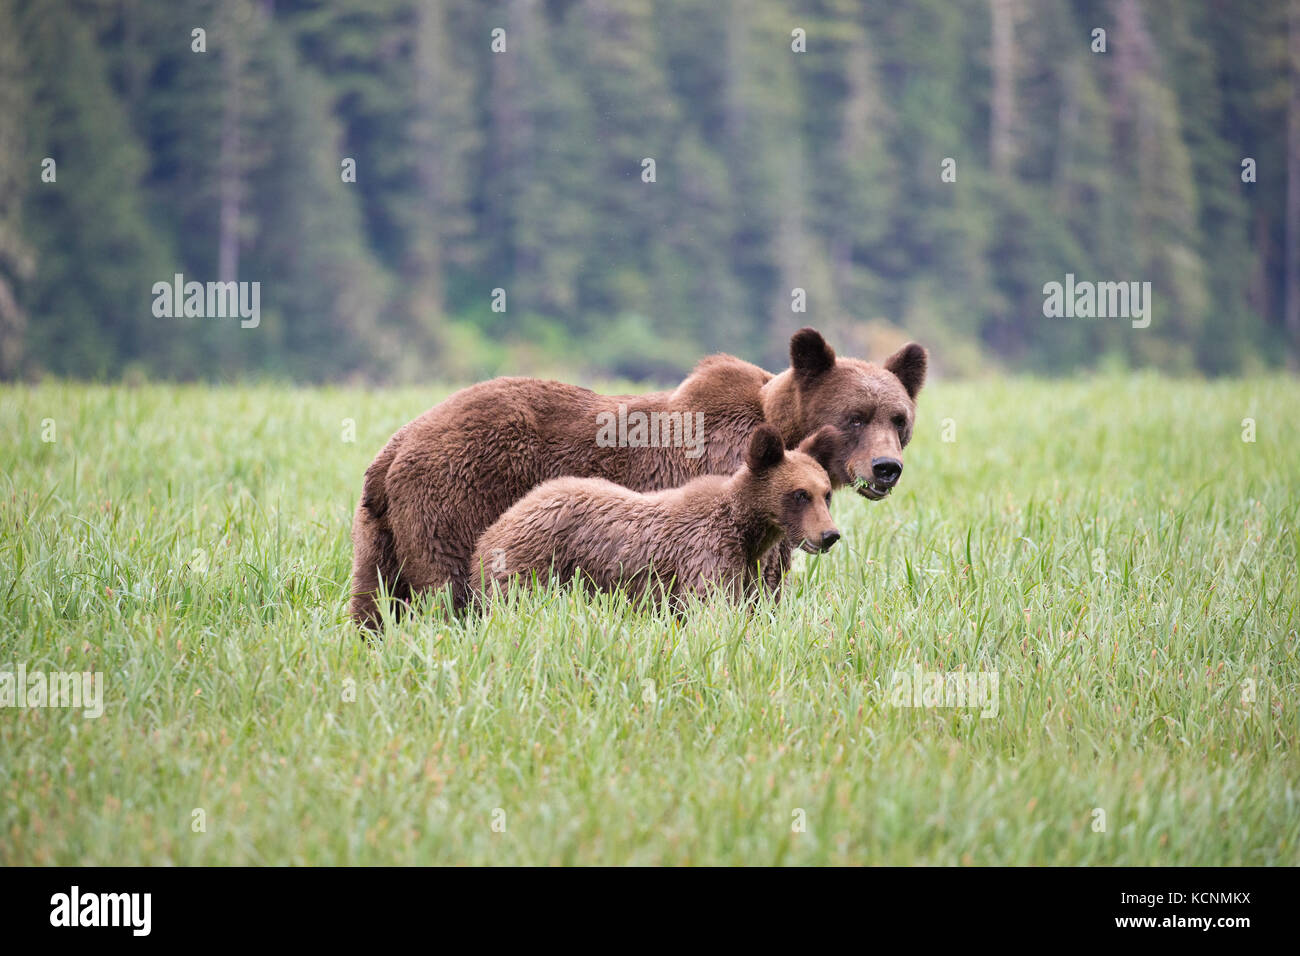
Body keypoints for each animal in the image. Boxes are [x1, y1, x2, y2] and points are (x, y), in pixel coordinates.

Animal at [473, 426, 837, 606]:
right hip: (531, 563)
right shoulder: (706, 553)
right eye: (800, 494)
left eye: (827, 493)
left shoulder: (749, 567)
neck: (748, 532)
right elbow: (710, 603)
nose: (829, 535)